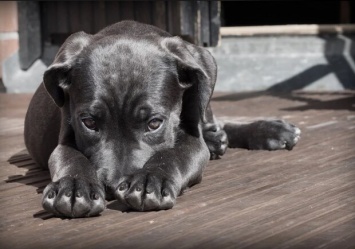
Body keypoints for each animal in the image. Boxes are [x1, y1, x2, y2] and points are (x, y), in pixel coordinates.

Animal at [24, 20, 300, 217]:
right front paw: (73, 187)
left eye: (154, 123)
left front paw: (150, 180)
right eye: (89, 123)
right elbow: (70, 157)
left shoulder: (191, 139)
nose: (113, 187)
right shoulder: (66, 135)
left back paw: (269, 131)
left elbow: (174, 154)